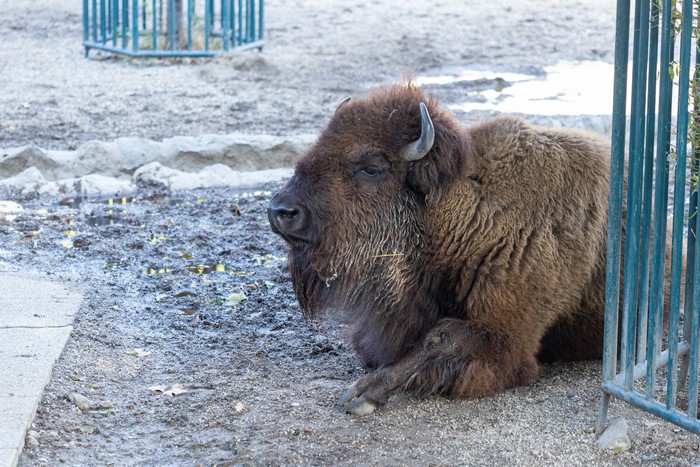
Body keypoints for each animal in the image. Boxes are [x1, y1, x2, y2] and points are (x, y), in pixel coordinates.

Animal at [267, 82, 620, 415]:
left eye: (371, 167)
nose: (281, 211)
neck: (471, 210)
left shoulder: (507, 336)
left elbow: (439, 340)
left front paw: (363, 393)